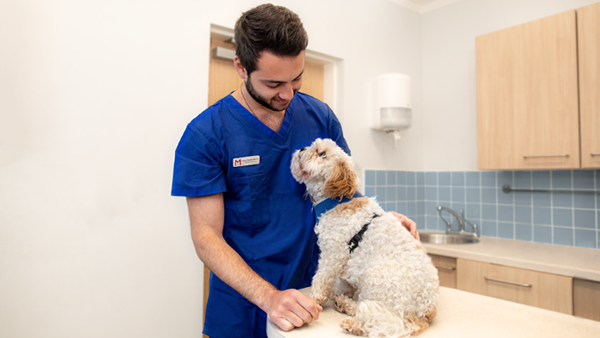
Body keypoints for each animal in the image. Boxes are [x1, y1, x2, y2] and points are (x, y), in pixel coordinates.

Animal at [290, 139, 436, 336]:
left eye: (323, 154)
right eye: (314, 146)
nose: (303, 148)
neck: (336, 201)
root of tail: (428, 310)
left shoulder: (334, 255)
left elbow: (321, 279)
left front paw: (314, 299)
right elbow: (345, 285)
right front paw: (340, 294)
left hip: (377, 279)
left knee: (390, 322)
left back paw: (354, 324)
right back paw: (345, 304)